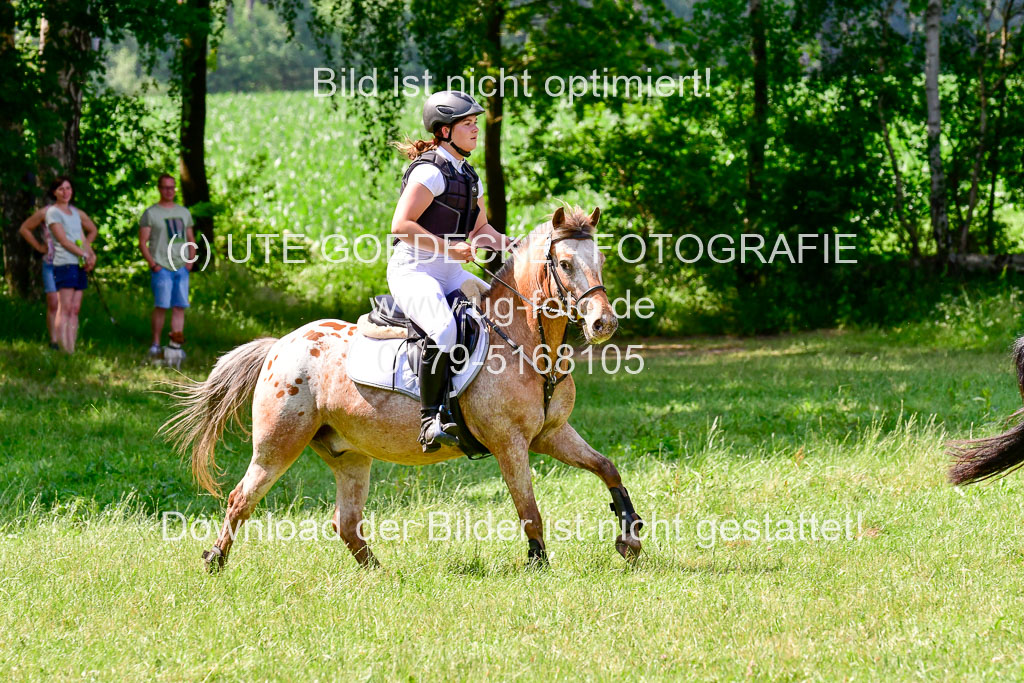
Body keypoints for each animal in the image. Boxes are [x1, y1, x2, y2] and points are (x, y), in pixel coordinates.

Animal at [163, 205, 643, 569]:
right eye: (565, 264)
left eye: (600, 262)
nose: (604, 323)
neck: (528, 343)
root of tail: (280, 345)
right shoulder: (510, 443)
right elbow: (529, 510)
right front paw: (538, 566)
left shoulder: (551, 434)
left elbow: (607, 468)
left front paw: (630, 536)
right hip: (277, 445)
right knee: (240, 500)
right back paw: (215, 561)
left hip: (349, 454)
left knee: (346, 522)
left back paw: (379, 573)